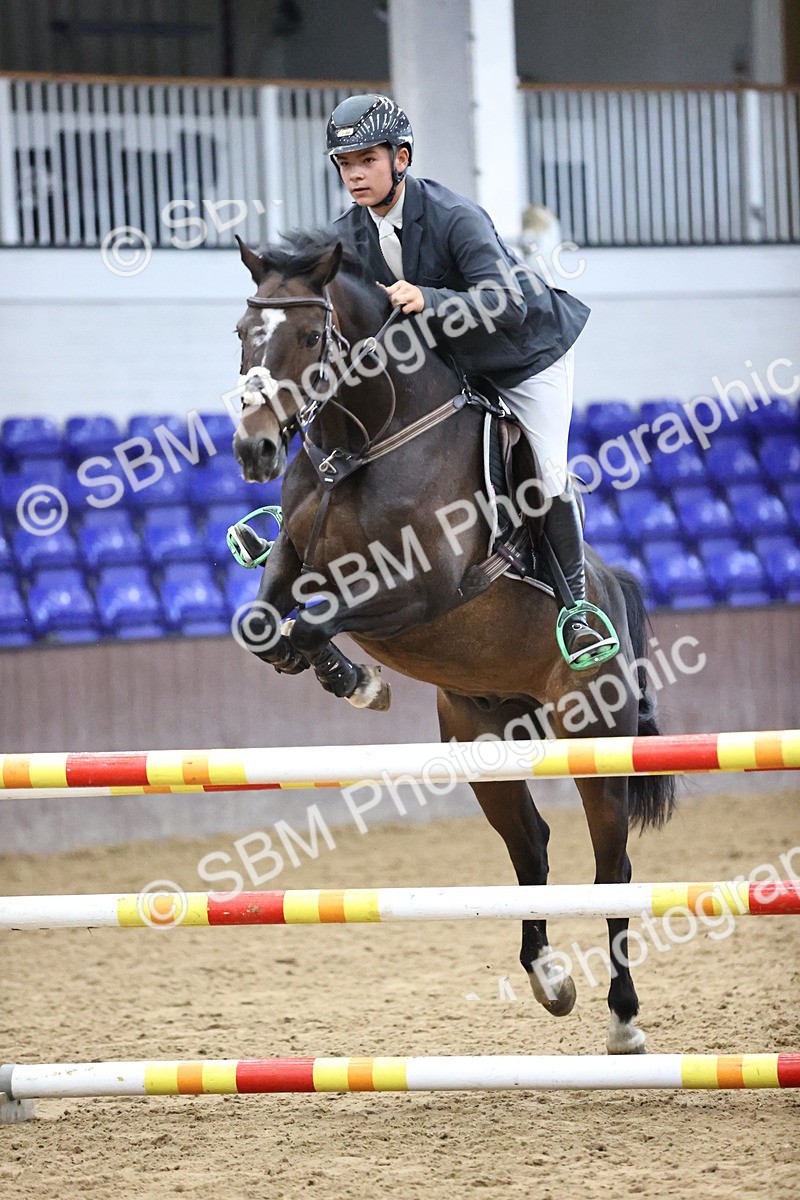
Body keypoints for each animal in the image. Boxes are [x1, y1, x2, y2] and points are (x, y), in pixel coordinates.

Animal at [229, 231, 675, 1055]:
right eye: (243, 332)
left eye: (307, 337)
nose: (256, 450)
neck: (363, 443)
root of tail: (611, 590)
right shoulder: (296, 558)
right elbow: (265, 624)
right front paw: (340, 675)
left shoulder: (419, 589)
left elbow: (318, 618)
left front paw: (358, 681)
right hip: (481, 734)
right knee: (531, 847)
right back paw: (549, 978)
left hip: (596, 737)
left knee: (614, 868)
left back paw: (624, 1018)